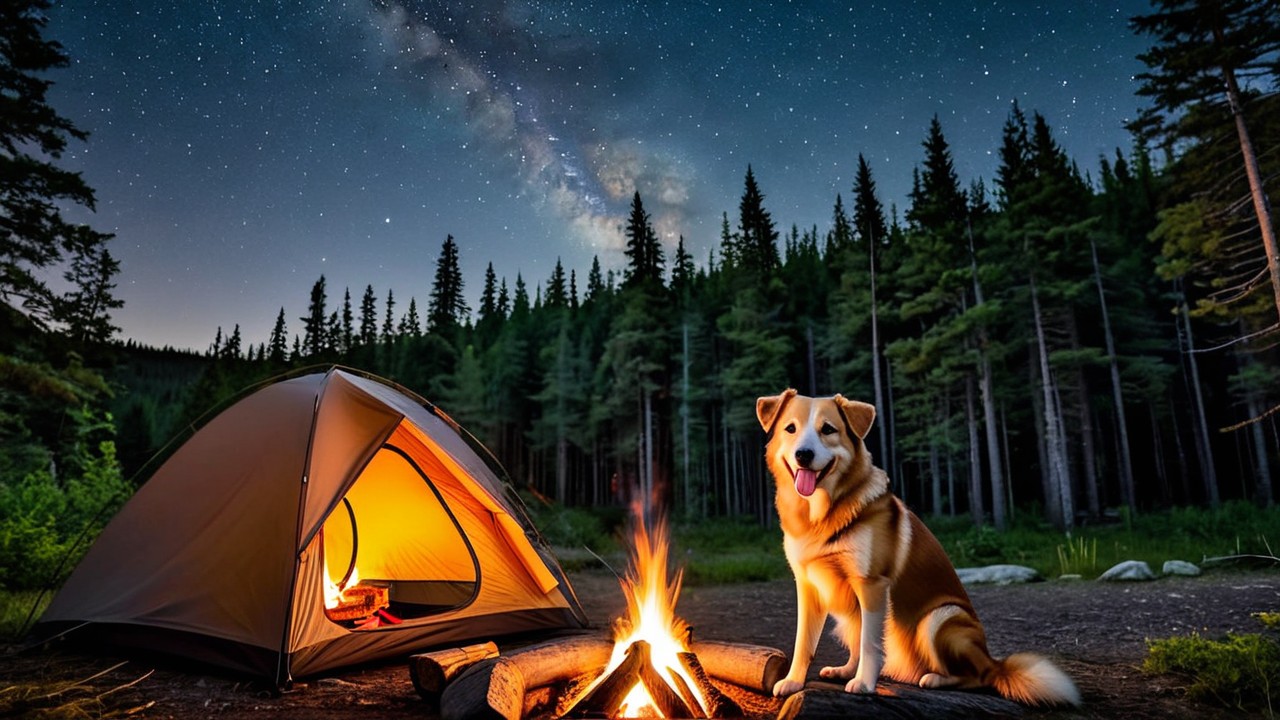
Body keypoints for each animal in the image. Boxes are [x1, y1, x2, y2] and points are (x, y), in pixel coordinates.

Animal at [757, 389, 1080, 702]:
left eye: (827, 429)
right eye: (790, 429)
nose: (803, 454)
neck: (822, 514)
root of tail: (994, 661)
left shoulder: (872, 584)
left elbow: (871, 643)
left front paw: (864, 683)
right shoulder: (808, 587)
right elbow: (804, 642)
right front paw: (793, 681)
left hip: (939, 618)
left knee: (979, 677)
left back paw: (935, 678)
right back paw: (845, 670)